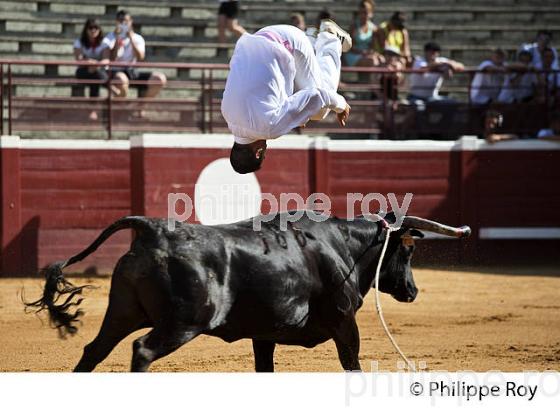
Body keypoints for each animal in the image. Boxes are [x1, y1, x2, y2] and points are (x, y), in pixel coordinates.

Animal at [26, 211, 470, 372]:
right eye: (408, 250)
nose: (412, 291)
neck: (342, 245)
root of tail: (151, 228)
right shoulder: (345, 322)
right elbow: (352, 363)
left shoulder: (264, 335)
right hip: (182, 323)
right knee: (143, 351)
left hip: (121, 312)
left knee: (93, 351)